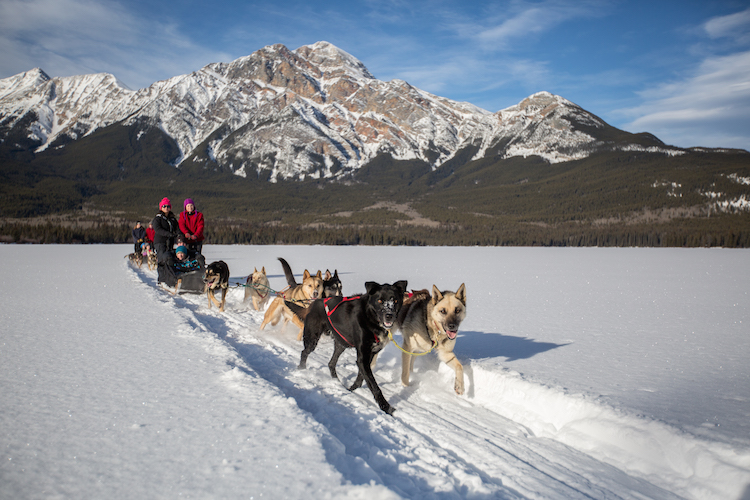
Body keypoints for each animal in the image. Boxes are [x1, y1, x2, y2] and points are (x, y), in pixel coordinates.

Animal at [296, 280, 408, 416]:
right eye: (380, 300)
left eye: (395, 300)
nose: (389, 315)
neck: (370, 318)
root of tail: (315, 303)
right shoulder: (363, 356)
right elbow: (374, 386)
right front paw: (387, 408)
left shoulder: (369, 355)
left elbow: (362, 376)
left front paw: (352, 389)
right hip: (312, 339)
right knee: (304, 352)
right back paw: (301, 369)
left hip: (342, 343)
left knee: (331, 363)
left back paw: (336, 382)